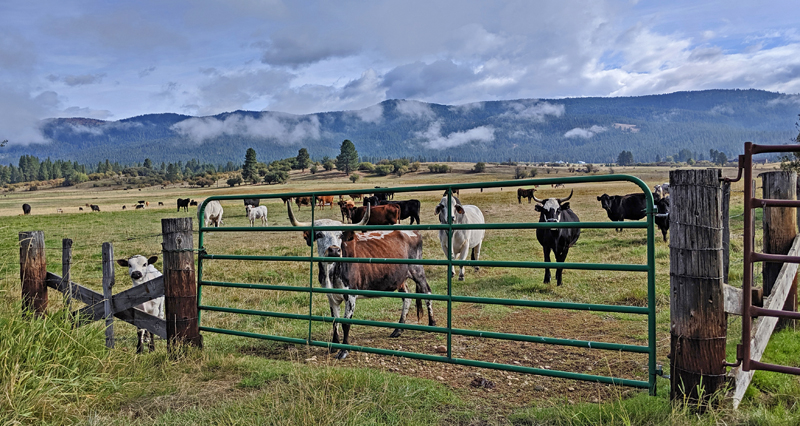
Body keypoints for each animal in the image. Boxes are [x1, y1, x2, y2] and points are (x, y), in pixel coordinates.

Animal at [287, 203, 436, 360]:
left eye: (340, 235)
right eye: (319, 235)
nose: (334, 250)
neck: (331, 270)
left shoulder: (350, 295)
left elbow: (346, 323)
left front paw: (344, 350)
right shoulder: (330, 296)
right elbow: (335, 321)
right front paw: (334, 345)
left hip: (417, 271)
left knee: (427, 292)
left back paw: (432, 323)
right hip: (400, 277)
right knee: (406, 297)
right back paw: (398, 330)